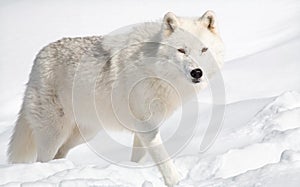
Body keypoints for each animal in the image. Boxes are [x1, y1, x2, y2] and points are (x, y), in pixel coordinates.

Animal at [7, 10, 225, 186]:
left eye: (204, 50)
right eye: (181, 50)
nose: (197, 72)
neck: (155, 71)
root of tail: (39, 55)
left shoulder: (144, 128)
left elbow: (138, 159)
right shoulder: (147, 127)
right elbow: (164, 159)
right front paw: (176, 182)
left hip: (84, 134)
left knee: (59, 155)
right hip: (54, 133)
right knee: (41, 160)